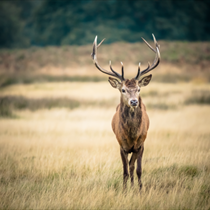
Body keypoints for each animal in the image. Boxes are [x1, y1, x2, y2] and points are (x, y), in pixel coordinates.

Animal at [90, 34, 161, 190]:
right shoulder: (121, 145)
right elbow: (125, 171)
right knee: (129, 167)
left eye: (138, 89)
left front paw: (140, 190)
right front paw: (124, 190)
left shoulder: (140, 144)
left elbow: (137, 169)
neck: (132, 136)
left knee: (133, 166)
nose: (134, 101)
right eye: (123, 90)